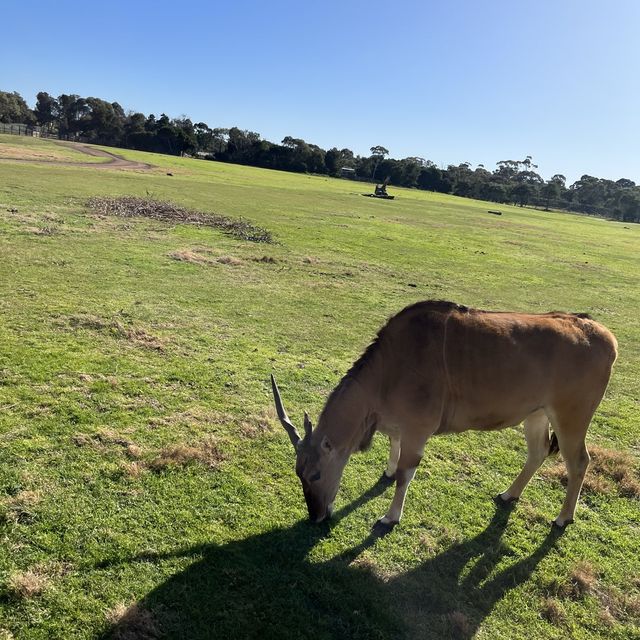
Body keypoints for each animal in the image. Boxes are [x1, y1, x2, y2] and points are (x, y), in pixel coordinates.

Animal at [272, 302, 620, 532]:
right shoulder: (399, 426)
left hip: (571, 417)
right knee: (537, 453)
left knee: (579, 461)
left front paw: (390, 516)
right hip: (536, 415)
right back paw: (509, 494)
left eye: (316, 474)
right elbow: (393, 451)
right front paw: (386, 473)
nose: (315, 515)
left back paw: (562, 518)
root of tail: (606, 337)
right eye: (298, 473)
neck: (390, 365)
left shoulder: (418, 430)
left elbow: (405, 474)